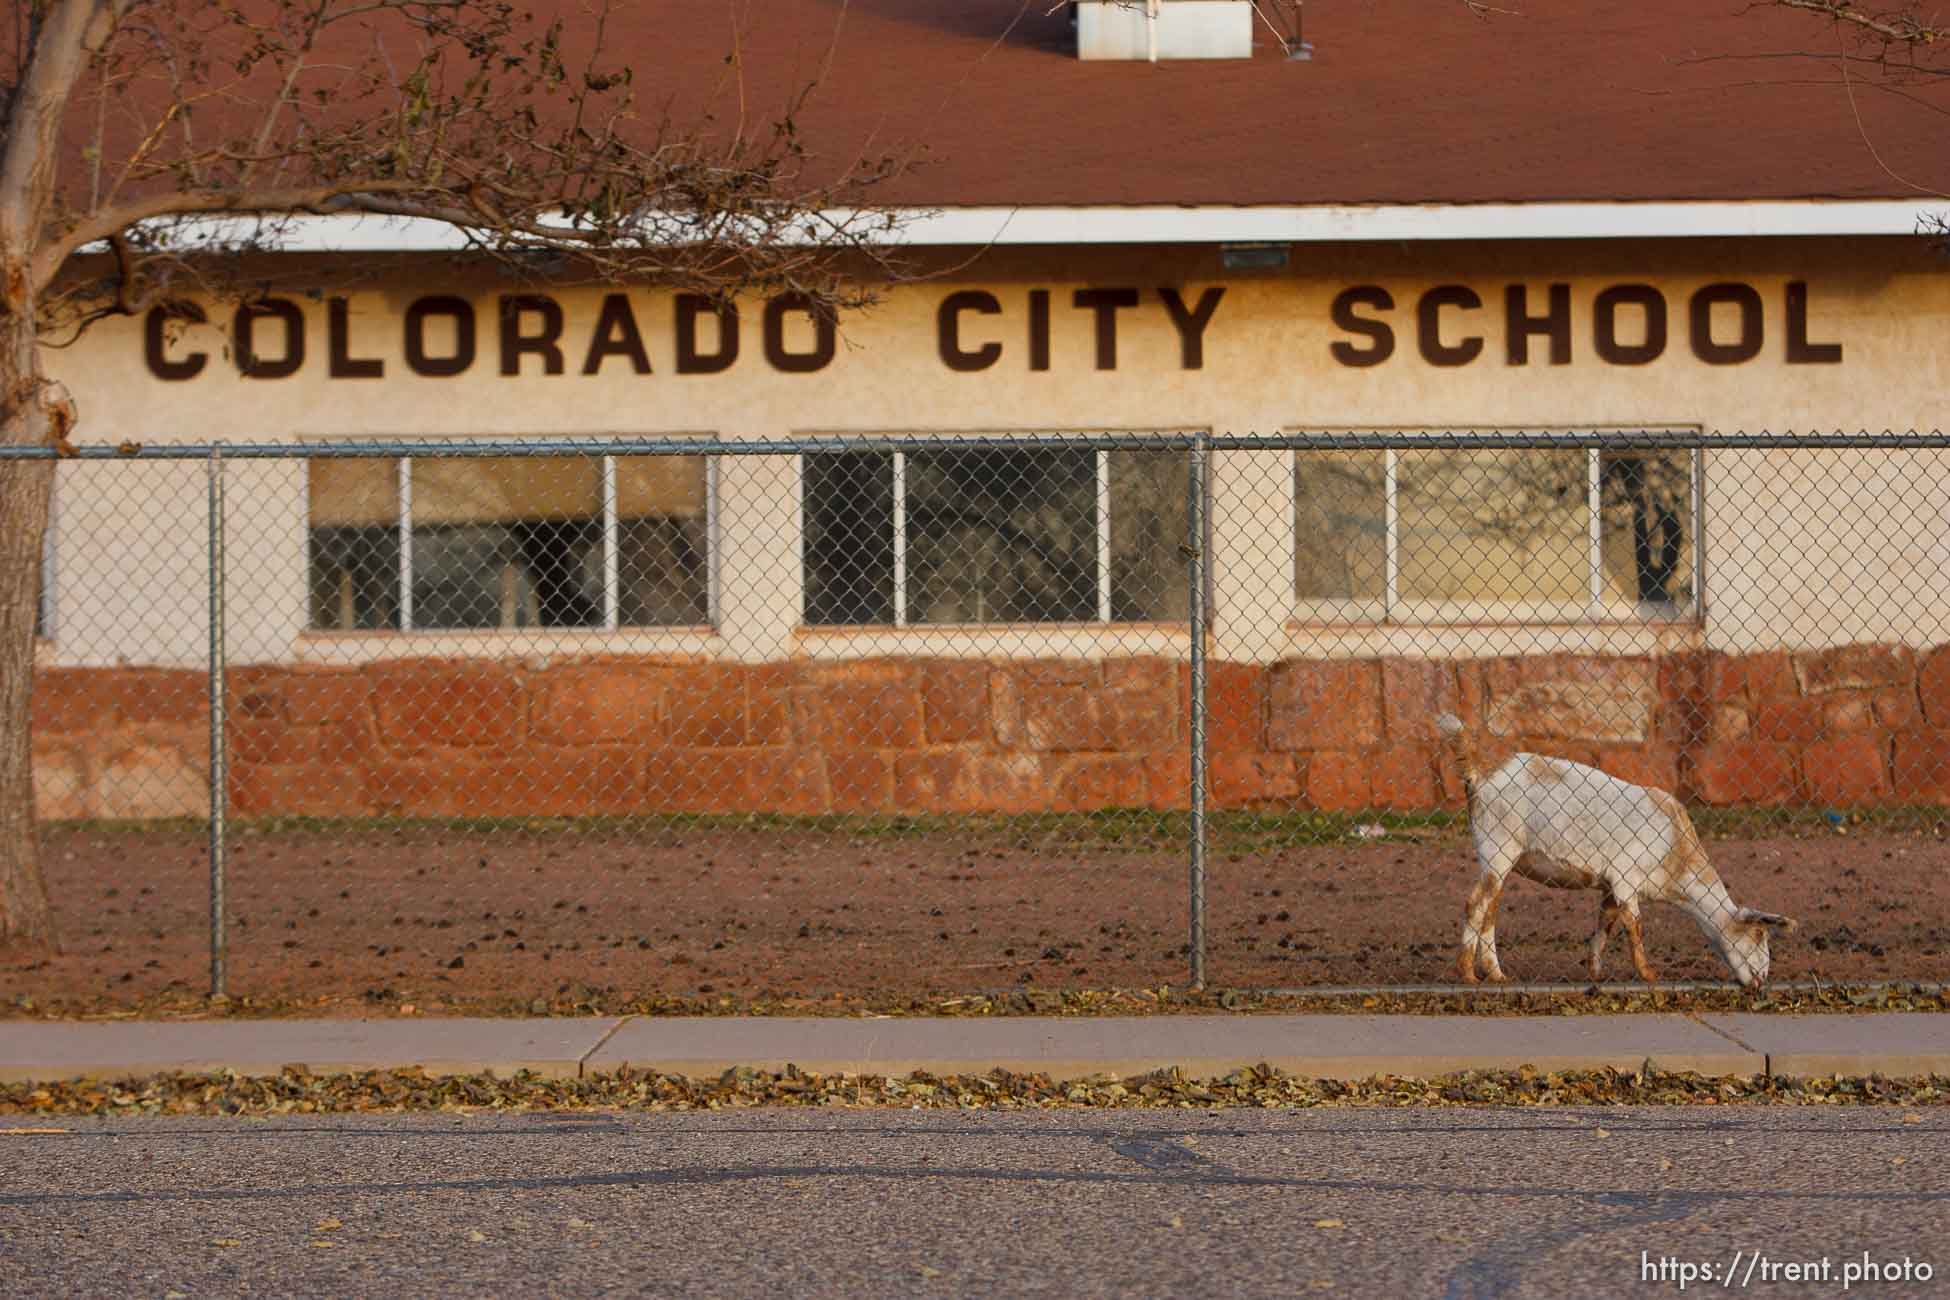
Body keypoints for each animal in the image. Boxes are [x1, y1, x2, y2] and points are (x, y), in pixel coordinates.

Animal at [1435, 713, 1794, 986]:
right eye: (1759, 936)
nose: (1761, 981)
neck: (1676, 858)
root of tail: (1482, 772)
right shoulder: (1626, 877)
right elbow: (1635, 925)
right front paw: (1649, 975)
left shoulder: (1609, 885)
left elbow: (1604, 925)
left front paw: (1595, 972)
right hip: (1497, 848)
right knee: (1474, 905)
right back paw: (1468, 974)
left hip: (1501, 858)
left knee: (1490, 910)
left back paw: (1496, 974)